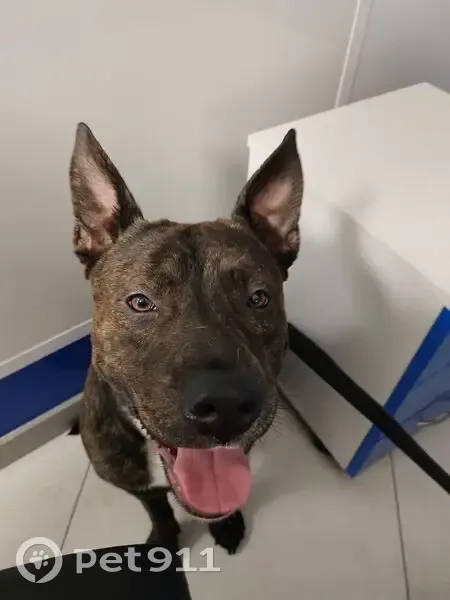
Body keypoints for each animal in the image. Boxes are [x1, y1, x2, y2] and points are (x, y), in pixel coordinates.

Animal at [69, 122, 303, 554]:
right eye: (140, 301)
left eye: (258, 298)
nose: (226, 405)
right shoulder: (136, 485)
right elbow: (157, 508)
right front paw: (163, 539)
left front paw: (226, 525)